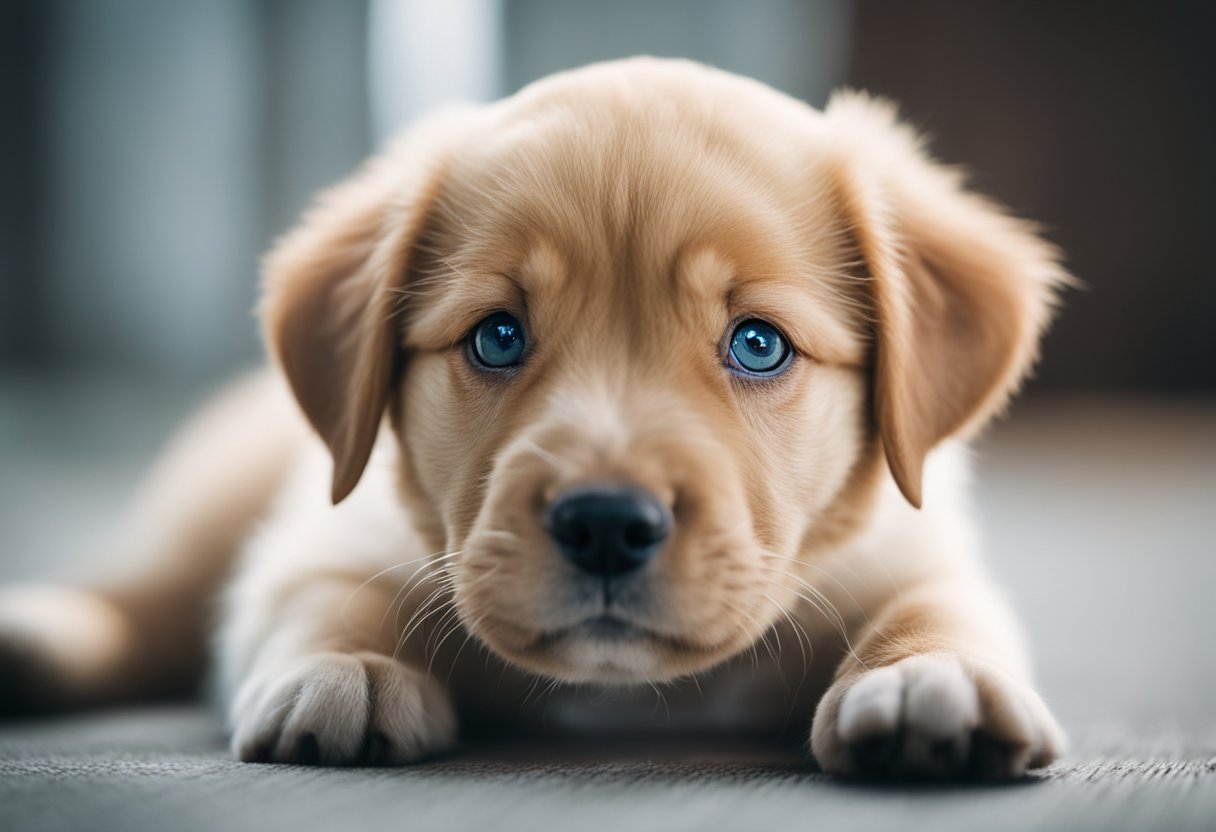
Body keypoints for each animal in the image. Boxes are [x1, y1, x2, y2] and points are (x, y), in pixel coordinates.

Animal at [0, 60, 1065, 778]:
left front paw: (935, 677)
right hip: (203, 506)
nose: (606, 526)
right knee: (146, 594)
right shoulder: (326, 530)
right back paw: (38, 634)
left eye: (759, 345)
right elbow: (321, 593)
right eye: (499, 337)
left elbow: (941, 603)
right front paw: (344, 665)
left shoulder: (912, 543)